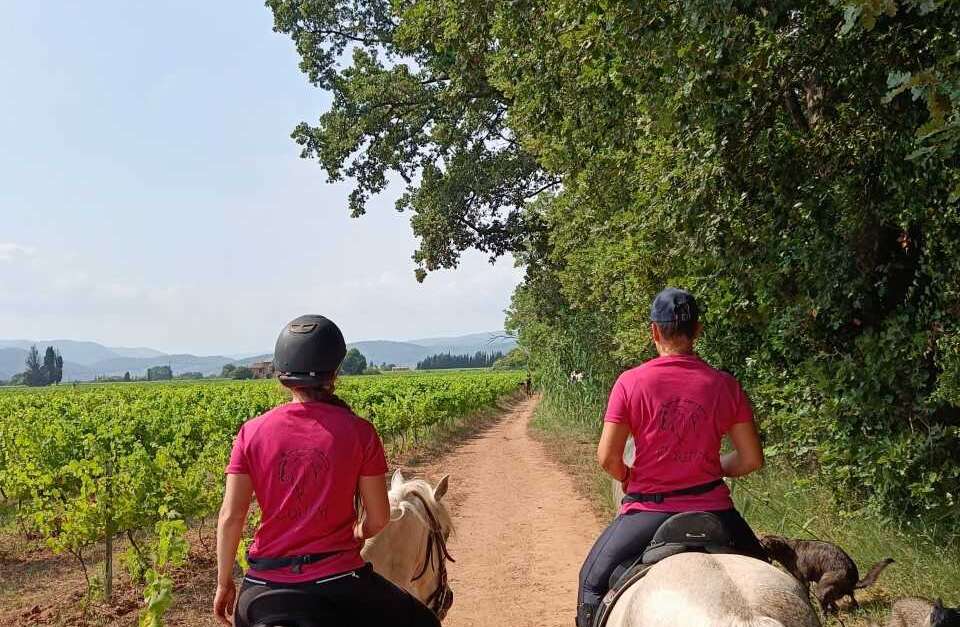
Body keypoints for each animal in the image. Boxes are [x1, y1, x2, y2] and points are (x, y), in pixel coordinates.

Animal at [760, 536, 896, 612]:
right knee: (850, 600)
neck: (787, 550)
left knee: (825, 609)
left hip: (822, 588)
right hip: (833, 590)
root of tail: (853, 578)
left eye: (762, 543)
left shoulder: (805, 582)